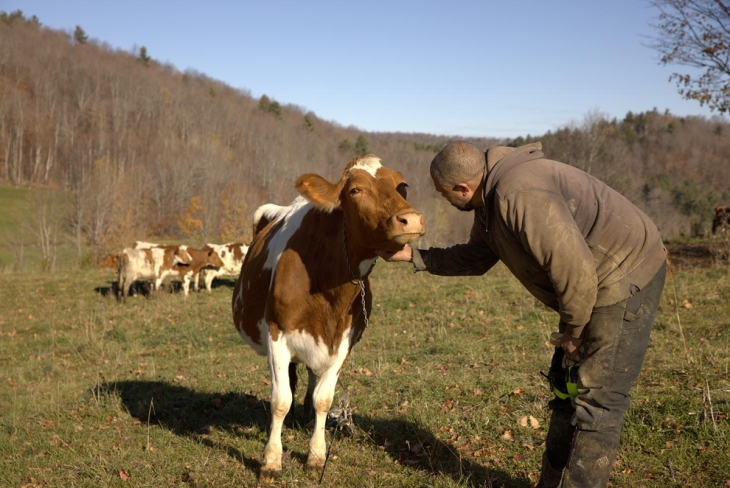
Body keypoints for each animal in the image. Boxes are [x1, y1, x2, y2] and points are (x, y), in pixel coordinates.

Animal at [233, 154, 424, 478]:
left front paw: (316, 454)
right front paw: (271, 460)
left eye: (403, 186)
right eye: (355, 190)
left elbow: (323, 398)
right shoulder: (276, 333)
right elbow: (280, 400)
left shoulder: (344, 341)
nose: (410, 220)